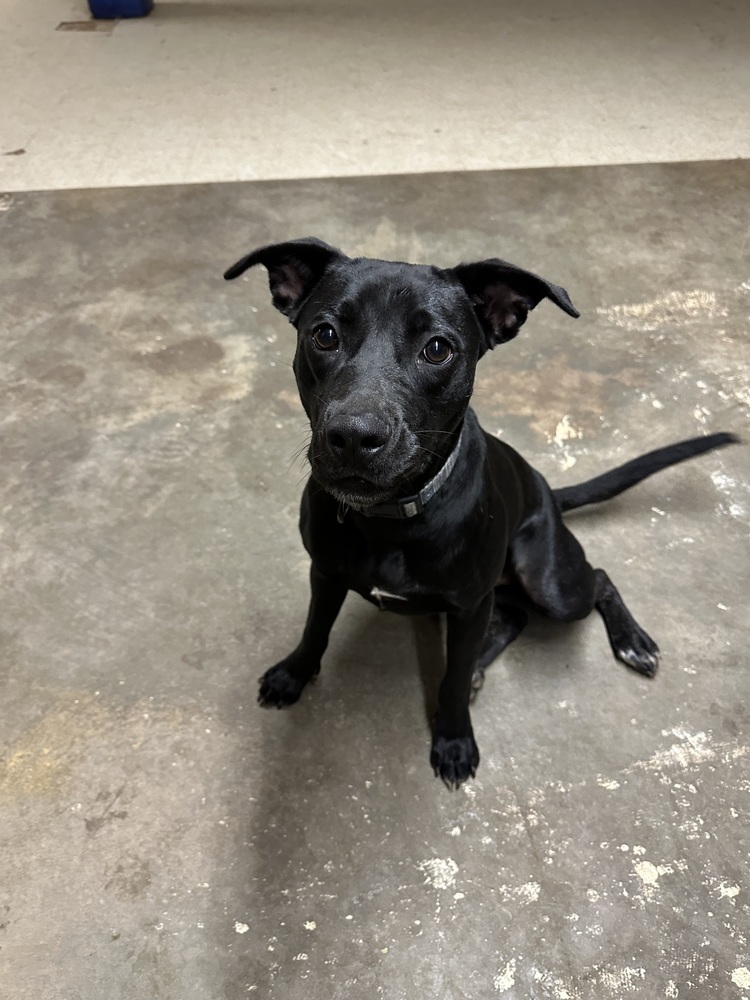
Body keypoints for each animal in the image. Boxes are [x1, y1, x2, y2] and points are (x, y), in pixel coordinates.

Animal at [225, 240, 740, 788]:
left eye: (437, 348)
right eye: (324, 335)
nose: (353, 436)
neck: (391, 517)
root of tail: (547, 491)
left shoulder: (471, 606)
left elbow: (449, 681)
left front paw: (453, 740)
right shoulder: (325, 572)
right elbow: (314, 627)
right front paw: (294, 673)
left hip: (548, 581)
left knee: (596, 578)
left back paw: (630, 641)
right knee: (513, 616)